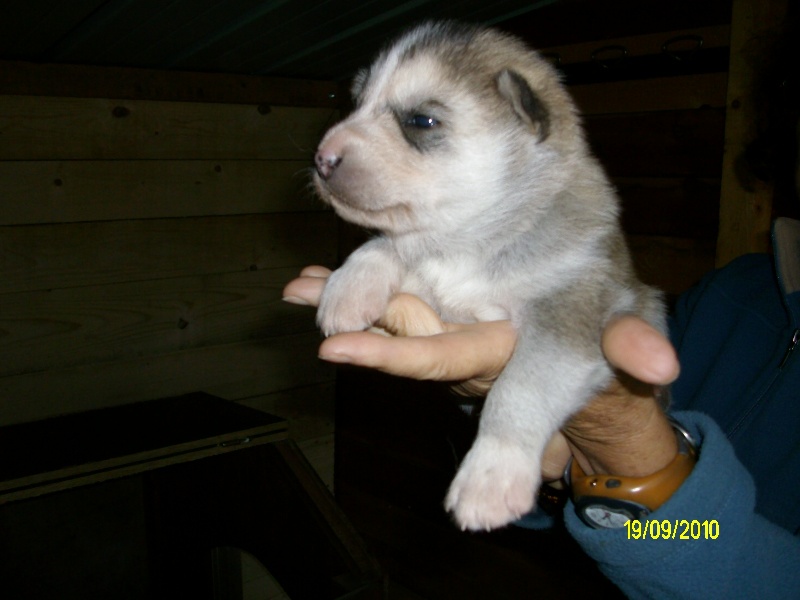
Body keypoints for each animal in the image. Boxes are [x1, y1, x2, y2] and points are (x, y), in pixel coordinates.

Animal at [311, 21, 665, 531]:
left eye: (421, 121)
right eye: (357, 104)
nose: (321, 158)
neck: (470, 241)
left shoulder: (567, 318)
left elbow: (519, 390)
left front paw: (492, 474)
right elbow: (385, 244)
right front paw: (349, 286)